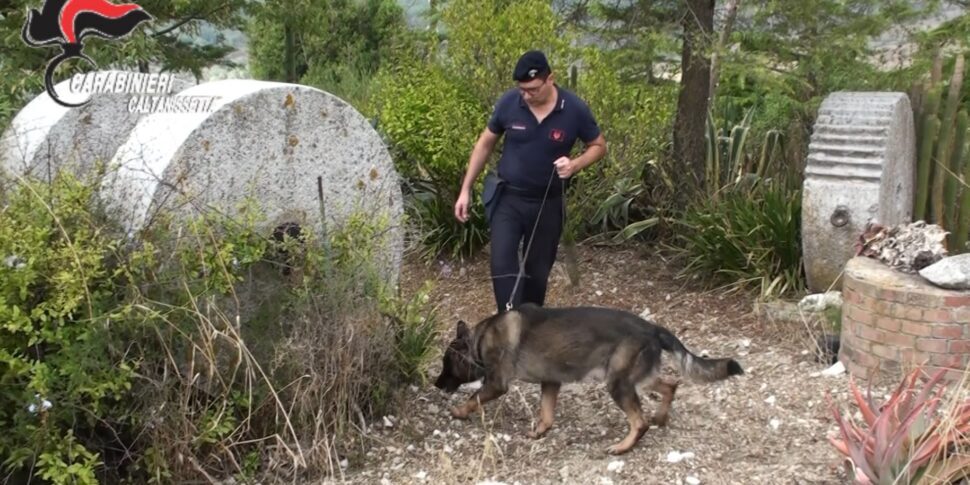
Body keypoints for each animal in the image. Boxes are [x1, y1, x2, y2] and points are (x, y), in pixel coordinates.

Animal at [434, 302, 744, 454]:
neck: (478, 340)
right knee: (670, 385)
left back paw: (623, 447)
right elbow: (547, 414)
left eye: (445, 363)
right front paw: (540, 432)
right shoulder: (551, 382)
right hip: (635, 378)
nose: (436, 384)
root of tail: (652, 328)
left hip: (618, 384)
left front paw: (459, 411)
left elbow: (474, 397)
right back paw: (661, 417)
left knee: (639, 422)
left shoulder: (496, 384)